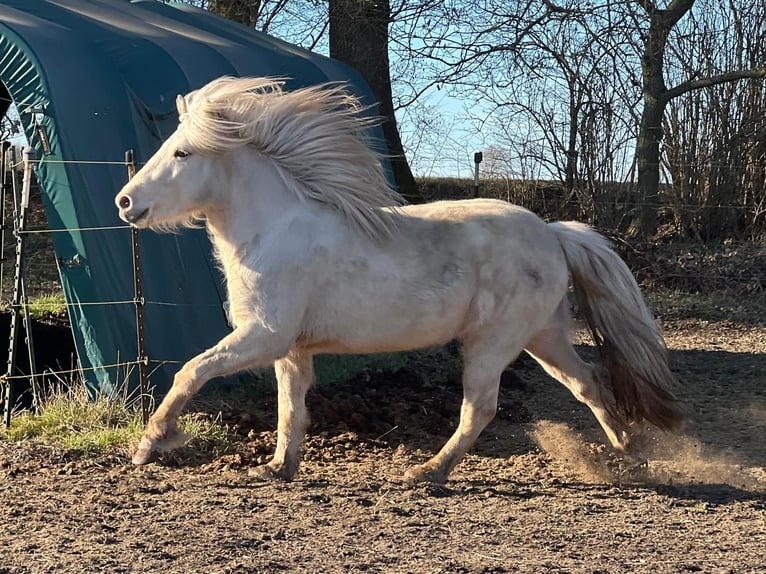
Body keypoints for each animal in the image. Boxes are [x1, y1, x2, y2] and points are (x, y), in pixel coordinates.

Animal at [115, 76, 683, 485]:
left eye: (183, 152)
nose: (125, 202)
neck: (274, 230)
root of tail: (552, 232)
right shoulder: (291, 348)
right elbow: (289, 407)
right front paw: (277, 468)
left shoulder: (263, 336)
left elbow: (191, 371)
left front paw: (151, 444)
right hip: (543, 339)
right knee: (587, 383)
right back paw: (630, 454)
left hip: (492, 343)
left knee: (479, 408)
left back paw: (427, 473)